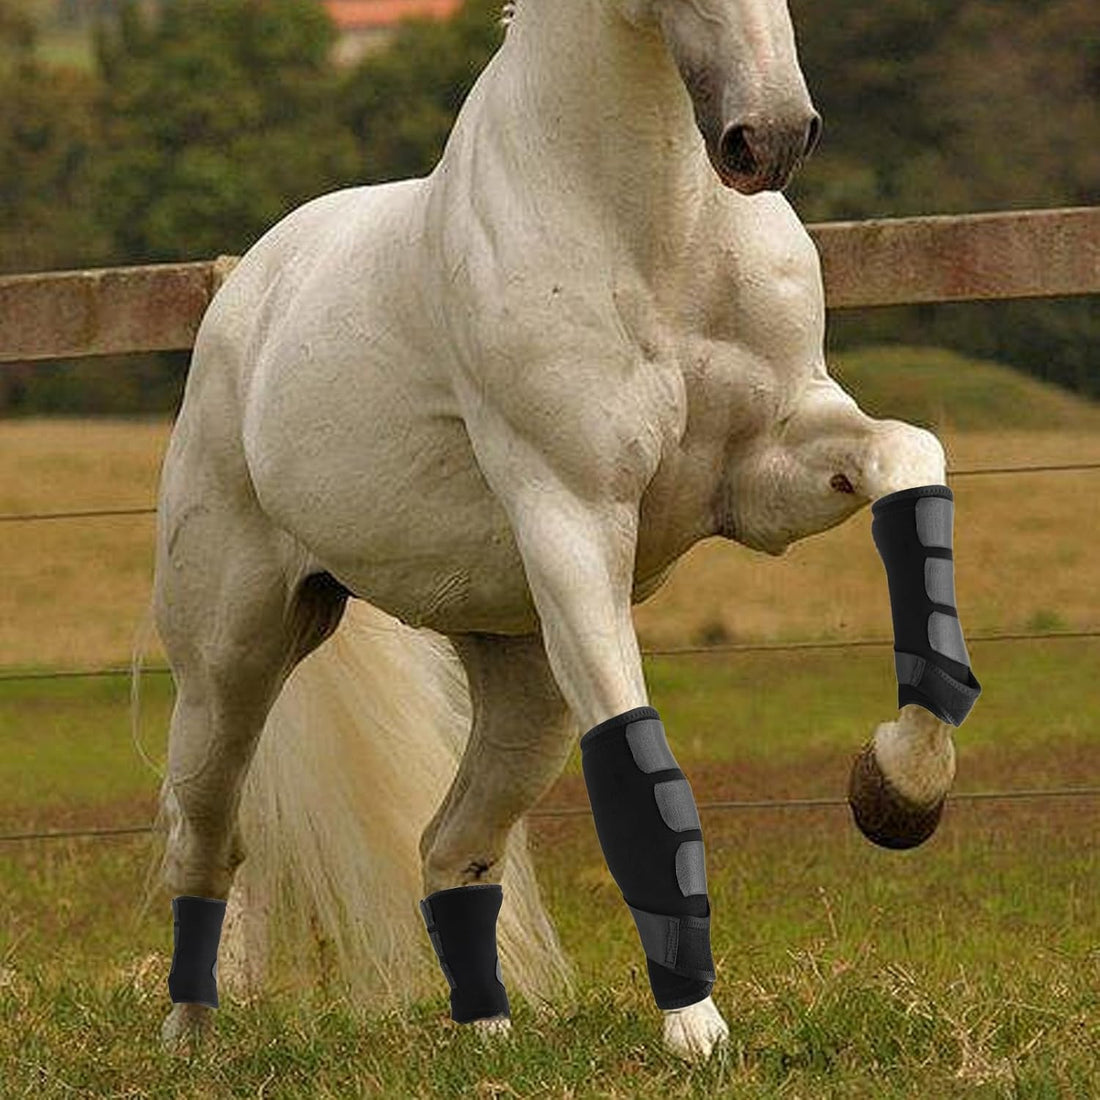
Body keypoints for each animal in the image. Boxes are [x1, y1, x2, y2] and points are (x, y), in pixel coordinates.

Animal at [147, 0, 962, 1064]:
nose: (772, 137)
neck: (651, 228)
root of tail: (247, 296)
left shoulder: (767, 469)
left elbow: (911, 460)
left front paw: (898, 789)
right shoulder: (573, 521)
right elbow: (633, 759)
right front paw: (697, 1034)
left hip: (520, 684)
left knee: (449, 846)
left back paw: (488, 1037)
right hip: (230, 669)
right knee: (207, 842)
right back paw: (189, 1039)